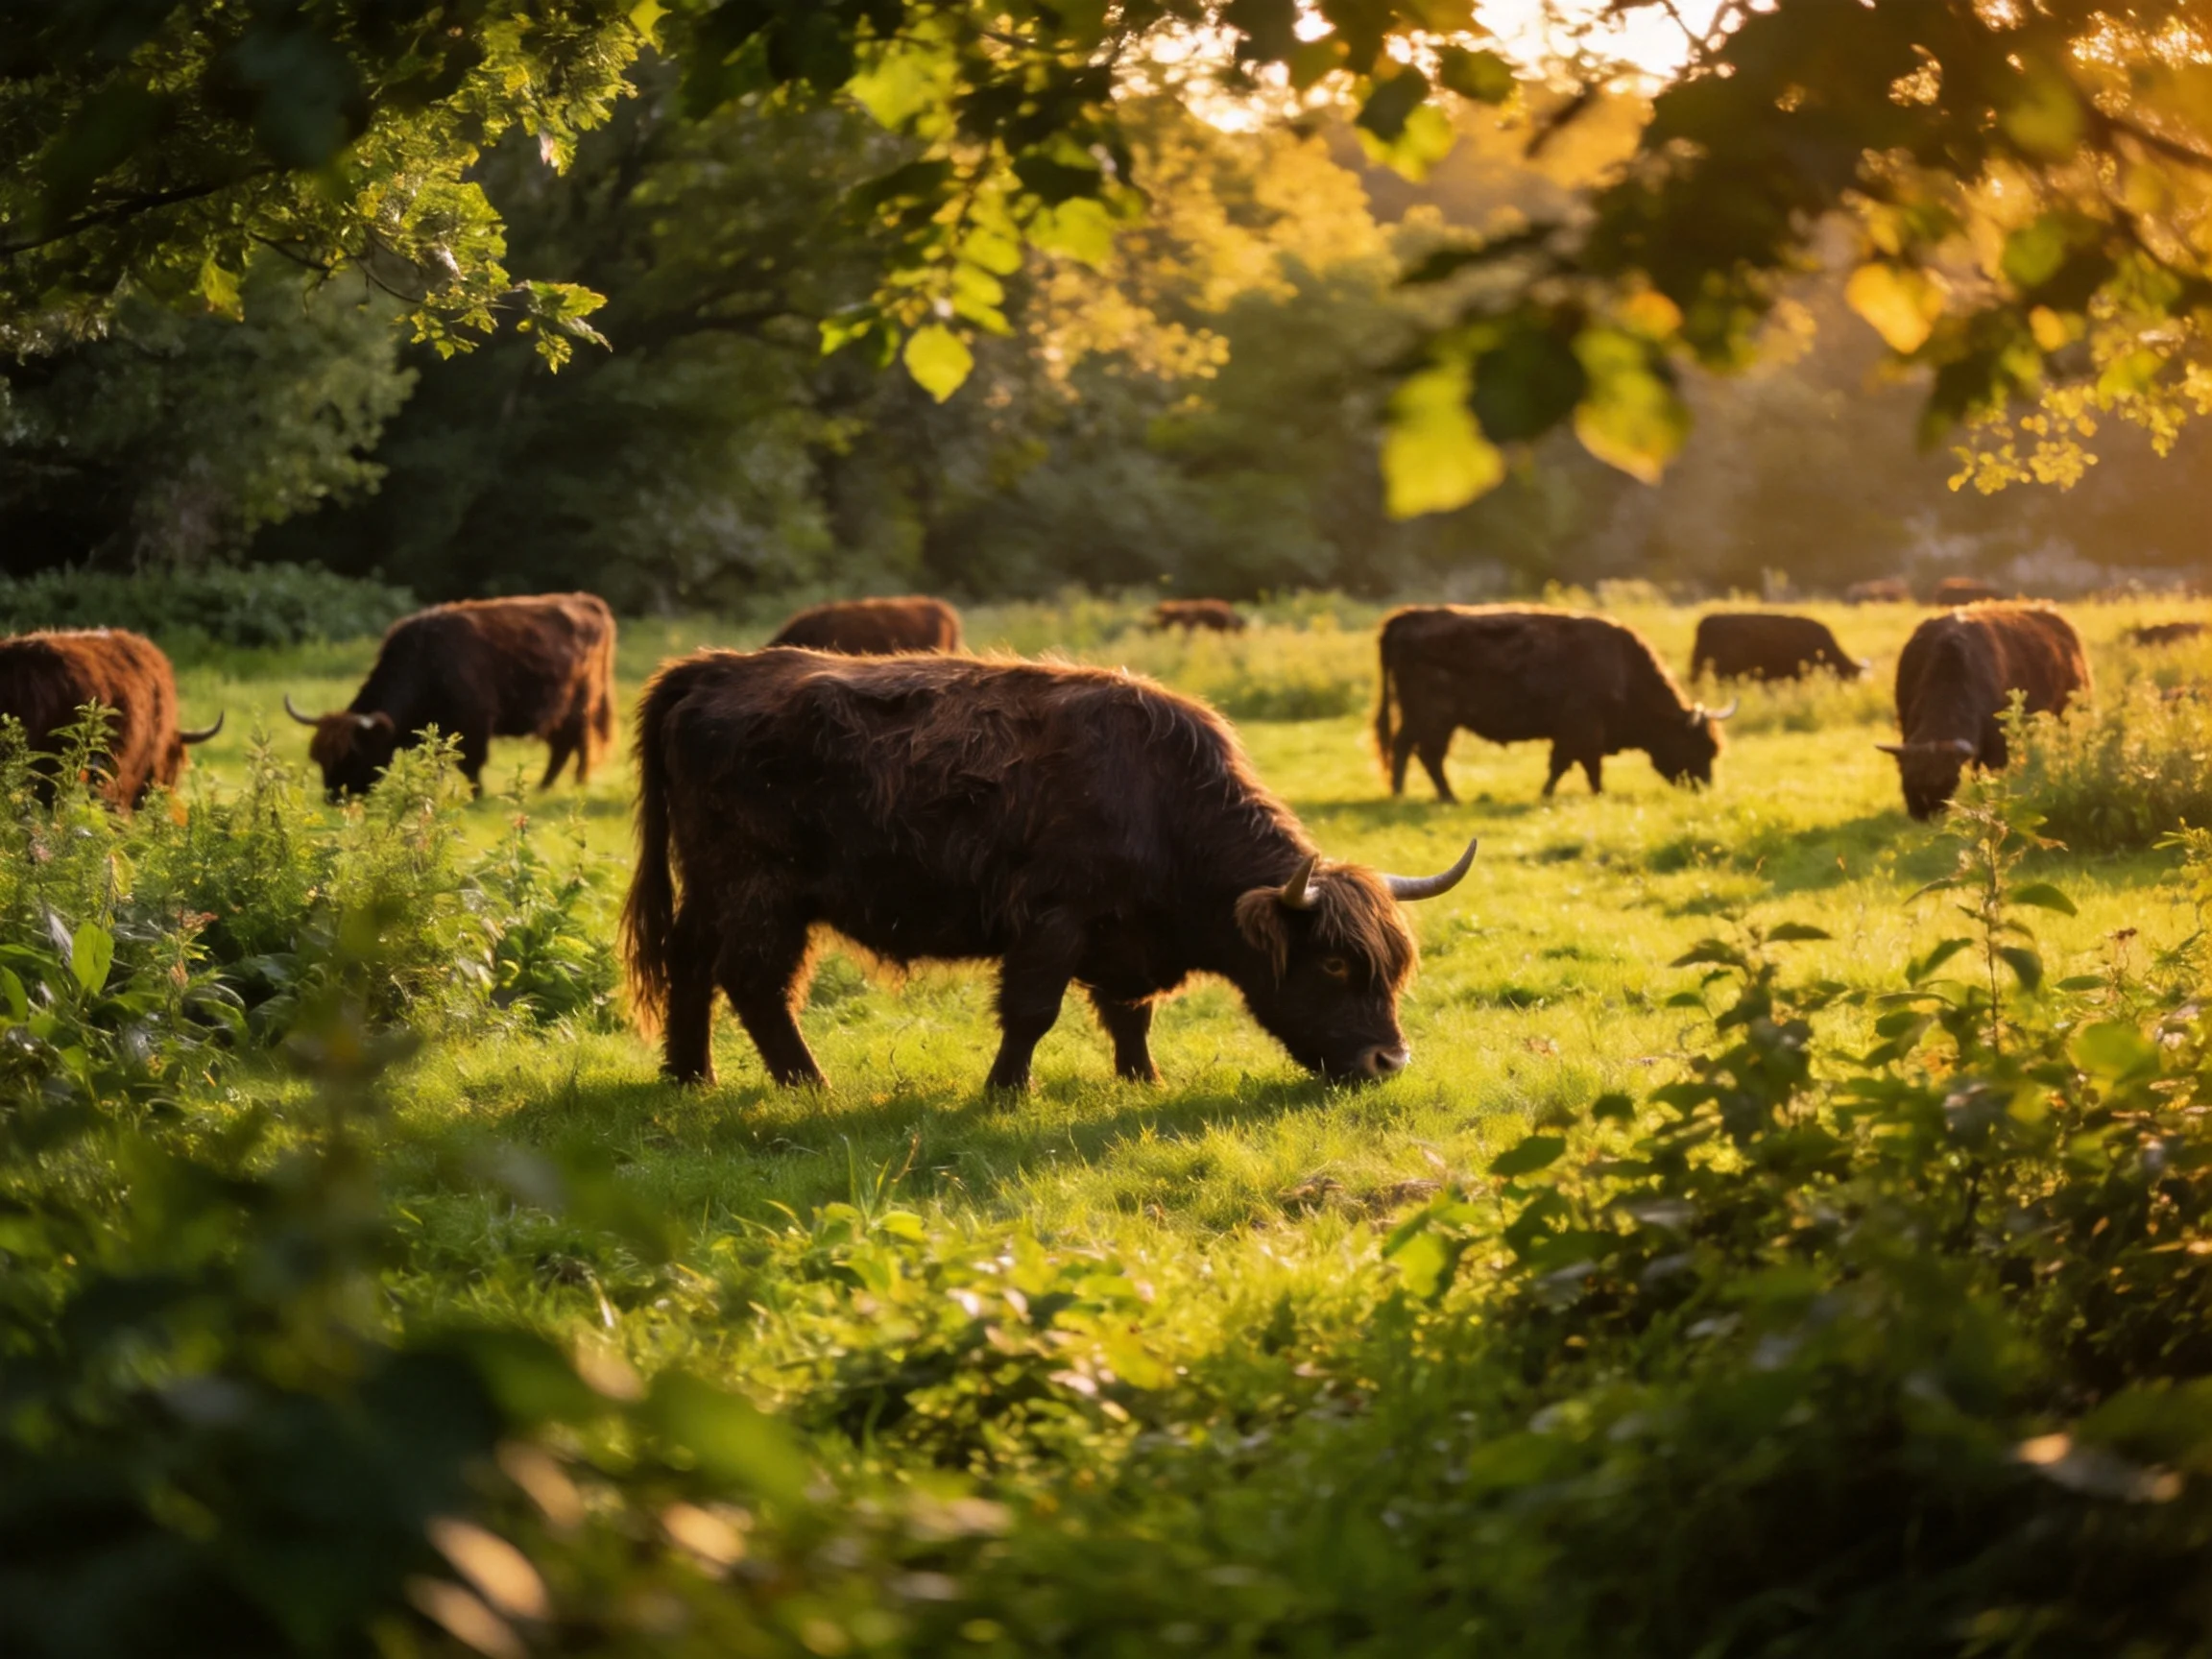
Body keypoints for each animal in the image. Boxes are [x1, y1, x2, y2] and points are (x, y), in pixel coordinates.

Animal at [285, 593, 616, 798]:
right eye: (319, 758)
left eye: (353, 753)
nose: (333, 797)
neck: (426, 661)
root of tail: (586, 601)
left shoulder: (475, 723)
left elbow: (471, 764)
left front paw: (477, 796)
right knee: (564, 745)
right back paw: (548, 787)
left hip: (580, 705)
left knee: (577, 743)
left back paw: (570, 783)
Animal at [621, 650, 1478, 1091]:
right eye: (1333, 962)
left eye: (1394, 968)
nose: (1388, 1061)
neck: (1157, 799)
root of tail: (715, 670)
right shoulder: (1053, 922)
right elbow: (1034, 1012)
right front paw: (1006, 1089)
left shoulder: (1125, 938)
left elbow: (1131, 1013)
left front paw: (1143, 1079)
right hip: (761, 890)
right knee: (755, 982)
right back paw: (809, 1084)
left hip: (709, 886)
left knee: (689, 963)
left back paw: (690, 1074)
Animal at [1373, 606, 1734, 802]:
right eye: (1699, 747)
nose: (1704, 787)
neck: (1623, 667)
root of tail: (1405, 619)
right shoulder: (1583, 730)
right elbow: (1584, 765)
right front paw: (1594, 794)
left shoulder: (1570, 734)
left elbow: (1562, 764)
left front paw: (1547, 794)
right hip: (1436, 719)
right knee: (1426, 754)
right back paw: (1446, 798)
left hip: (1421, 717)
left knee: (1405, 746)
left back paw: (1401, 793)